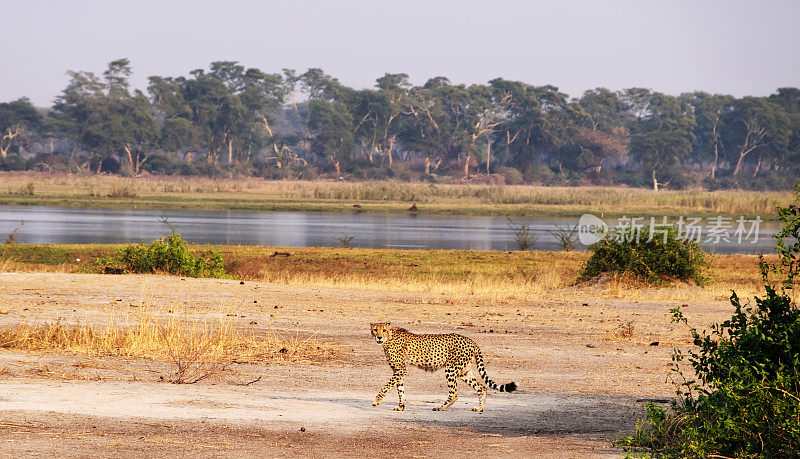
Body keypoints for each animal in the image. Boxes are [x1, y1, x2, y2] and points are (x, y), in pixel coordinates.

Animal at [370, 324, 520, 414]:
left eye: (383, 330)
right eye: (375, 329)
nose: (379, 337)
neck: (389, 338)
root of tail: (472, 341)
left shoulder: (401, 369)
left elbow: (387, 386)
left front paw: (377, 400)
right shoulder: (399, 371)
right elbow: (400, 389)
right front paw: (401, 406)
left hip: (451, 369)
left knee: (454, 394)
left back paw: (440, 407)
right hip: (464, 372)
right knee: (482, 387)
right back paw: (479, 408)